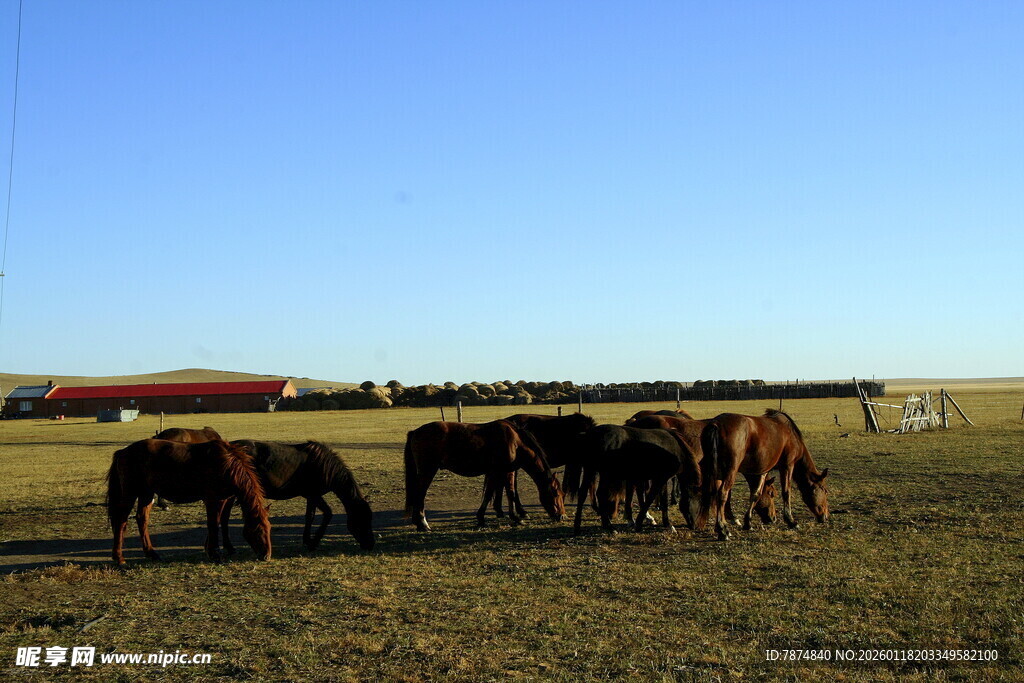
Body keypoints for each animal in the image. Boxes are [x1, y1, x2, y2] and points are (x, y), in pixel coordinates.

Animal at [106, 438, 272, 566]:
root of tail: (123, 452)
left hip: (146, 493)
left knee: (142, 519)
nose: (266, 556)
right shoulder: (212, 499)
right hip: (130, 494)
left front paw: (210, 549)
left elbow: (218, 521)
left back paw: (152, 554)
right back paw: (119, 558)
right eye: (258, 529)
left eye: (269, 528)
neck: (226, 464)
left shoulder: (223, 499)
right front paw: (214, 554)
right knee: (121, 520)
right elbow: (213, 524)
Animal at [224, 440, 375, 552]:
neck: (323, 466)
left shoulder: (311, 496)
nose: (370, 545)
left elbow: (310, 516)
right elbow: (328, 513)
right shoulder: (313, 495)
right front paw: (314, 542)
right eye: (362, 519)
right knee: (224, 516)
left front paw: (307, 540)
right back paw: (229, 547)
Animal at [404, 420, 566, 531]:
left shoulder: (503, 472)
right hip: (428, 470)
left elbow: (502, 493)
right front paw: (509, 517)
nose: (562, 516)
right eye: (555, 493)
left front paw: (510, 517)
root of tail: (416, 431)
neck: (515, 442)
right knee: (419, 494)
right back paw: (423, 524)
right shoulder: (500, 472)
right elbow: (500, 494)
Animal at [571, 425, 701, 535]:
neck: (676, 449)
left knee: (582, 494)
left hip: (590, 470)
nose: (694, 526)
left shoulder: (662, 479)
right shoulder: (660, 479)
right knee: (601, 494)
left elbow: (663, 501)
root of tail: (589, 435)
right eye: (698, 502)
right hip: (605, 474)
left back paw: (578, 527)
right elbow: (649, 499)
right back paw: (610, 527)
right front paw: (639, 524)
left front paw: (667, 524)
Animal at [697, 409, 830, 541]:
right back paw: (723, 530)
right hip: (730, 470)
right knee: (722, 494)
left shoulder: (763, 470)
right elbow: (786, 492)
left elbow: (756, 494)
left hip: (716, 471)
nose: (825, 516)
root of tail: (716, 425)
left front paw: (748, 523)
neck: (791, 435)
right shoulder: (787, 465)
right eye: (825, 490)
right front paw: (791, 521)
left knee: (715, 494)